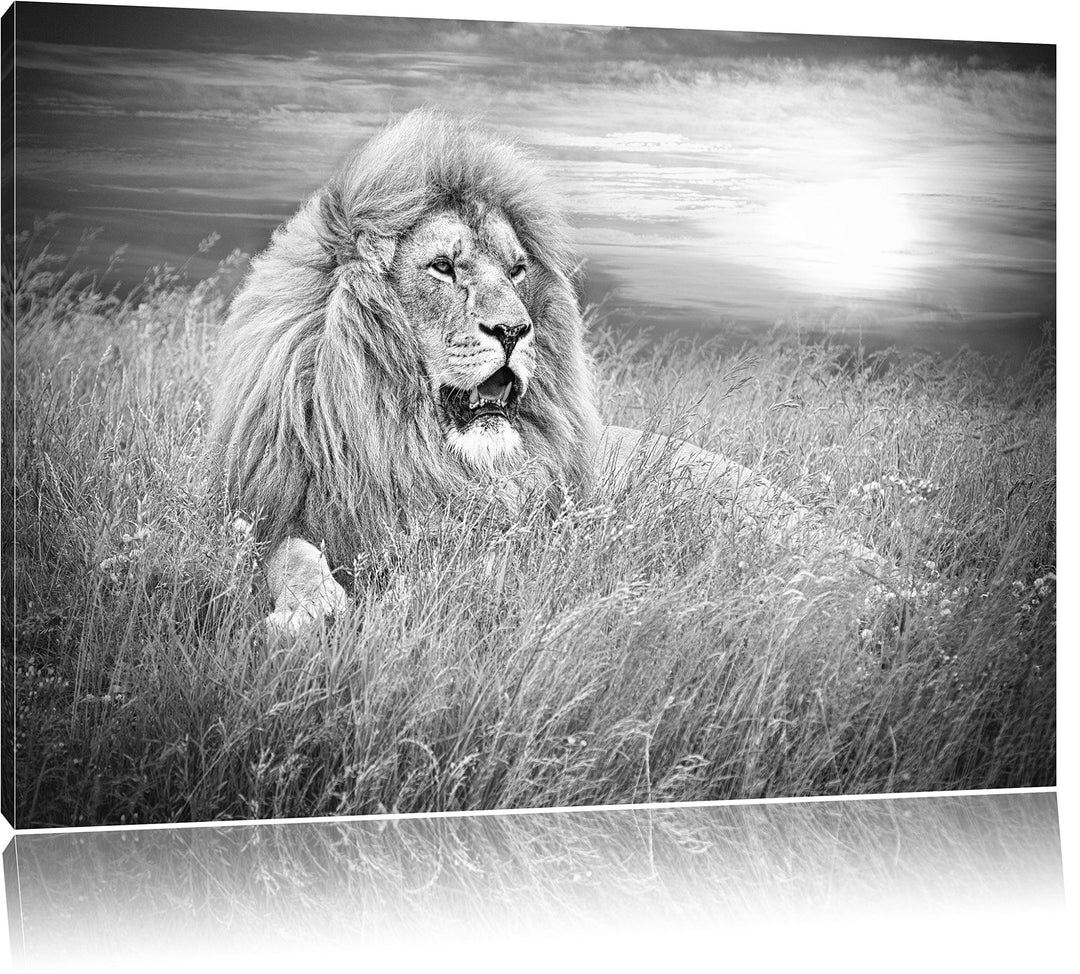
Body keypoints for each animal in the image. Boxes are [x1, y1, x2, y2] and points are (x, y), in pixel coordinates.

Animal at [210, 109, 825, 634]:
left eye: (516, 271)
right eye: (442, 266)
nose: (513, 331)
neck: (401, 442)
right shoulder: (276, 516)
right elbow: (290, 557)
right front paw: (307, 613)